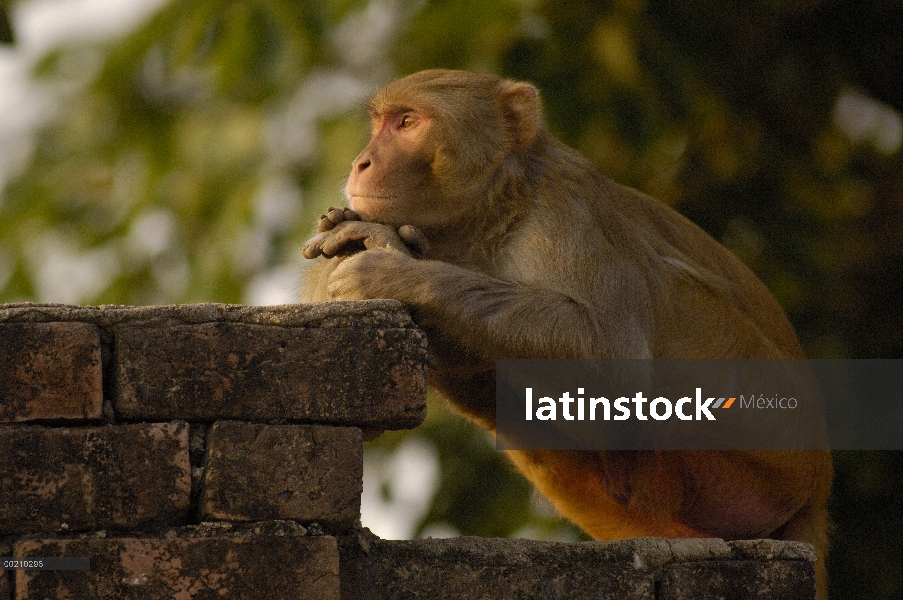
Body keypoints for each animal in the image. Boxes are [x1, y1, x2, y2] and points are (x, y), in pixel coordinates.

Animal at [302, 69, 832, 596]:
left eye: (408, 122)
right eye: (381, 123)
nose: (361, 162)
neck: (497, 208)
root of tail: (818, 484)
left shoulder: (566, 212)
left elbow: (613, 361)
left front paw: (394, 264)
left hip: (764, 446)